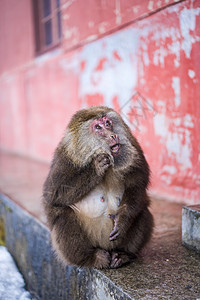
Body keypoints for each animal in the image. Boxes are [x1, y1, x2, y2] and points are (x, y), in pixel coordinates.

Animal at [43, 106, 154, 270]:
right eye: (98, 127)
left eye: (108, 123)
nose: (113, 135)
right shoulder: (65, 158)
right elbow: (53, 194)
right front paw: (96, 166)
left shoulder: (135, 149)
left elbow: (137, 185)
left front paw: (122, 220)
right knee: (62, 213)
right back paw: (90, 258)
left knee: (142, 211)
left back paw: (123, 254)